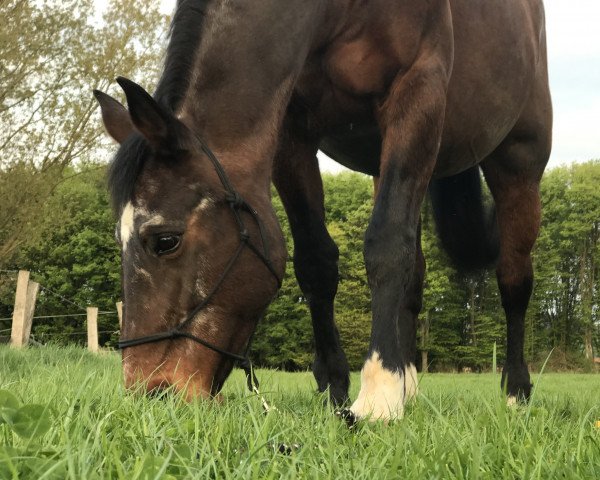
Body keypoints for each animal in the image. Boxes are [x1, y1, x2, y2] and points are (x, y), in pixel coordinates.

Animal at [95, 0, 552, 420]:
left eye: (165, 241)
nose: (153, 392)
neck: (339, 12)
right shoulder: (292, 131)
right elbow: (316, 261)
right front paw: (336, 386)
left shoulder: (417, 93)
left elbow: (386, 244)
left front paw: (379, 393)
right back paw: (408, 383)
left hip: (518, 162)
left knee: (514, 277)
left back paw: (515, 389)